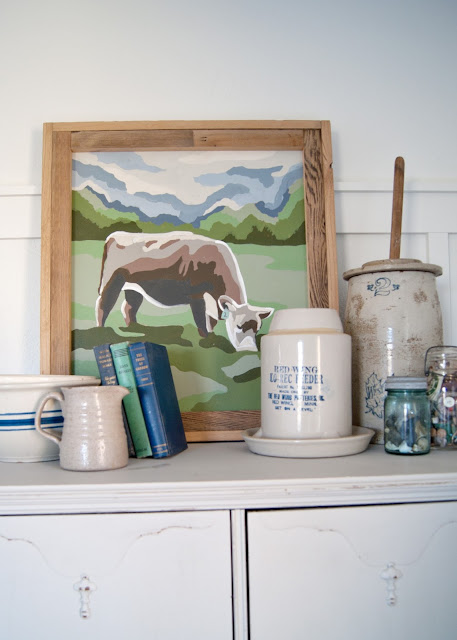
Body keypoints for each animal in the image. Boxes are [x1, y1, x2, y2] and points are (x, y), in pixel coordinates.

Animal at [95, 230, 272, 350]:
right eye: (239, 326)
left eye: (257, 329)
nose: (249, 350)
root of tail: (116, 235)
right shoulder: (196, 295)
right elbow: (201, 320)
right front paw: (205, 338)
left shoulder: (212, 302)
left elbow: (211, 321)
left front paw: (212, 337)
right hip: (111, 281)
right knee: (103, 305)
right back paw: (101, 331)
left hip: (133, 287)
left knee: (129, 307)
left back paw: (135, 328)